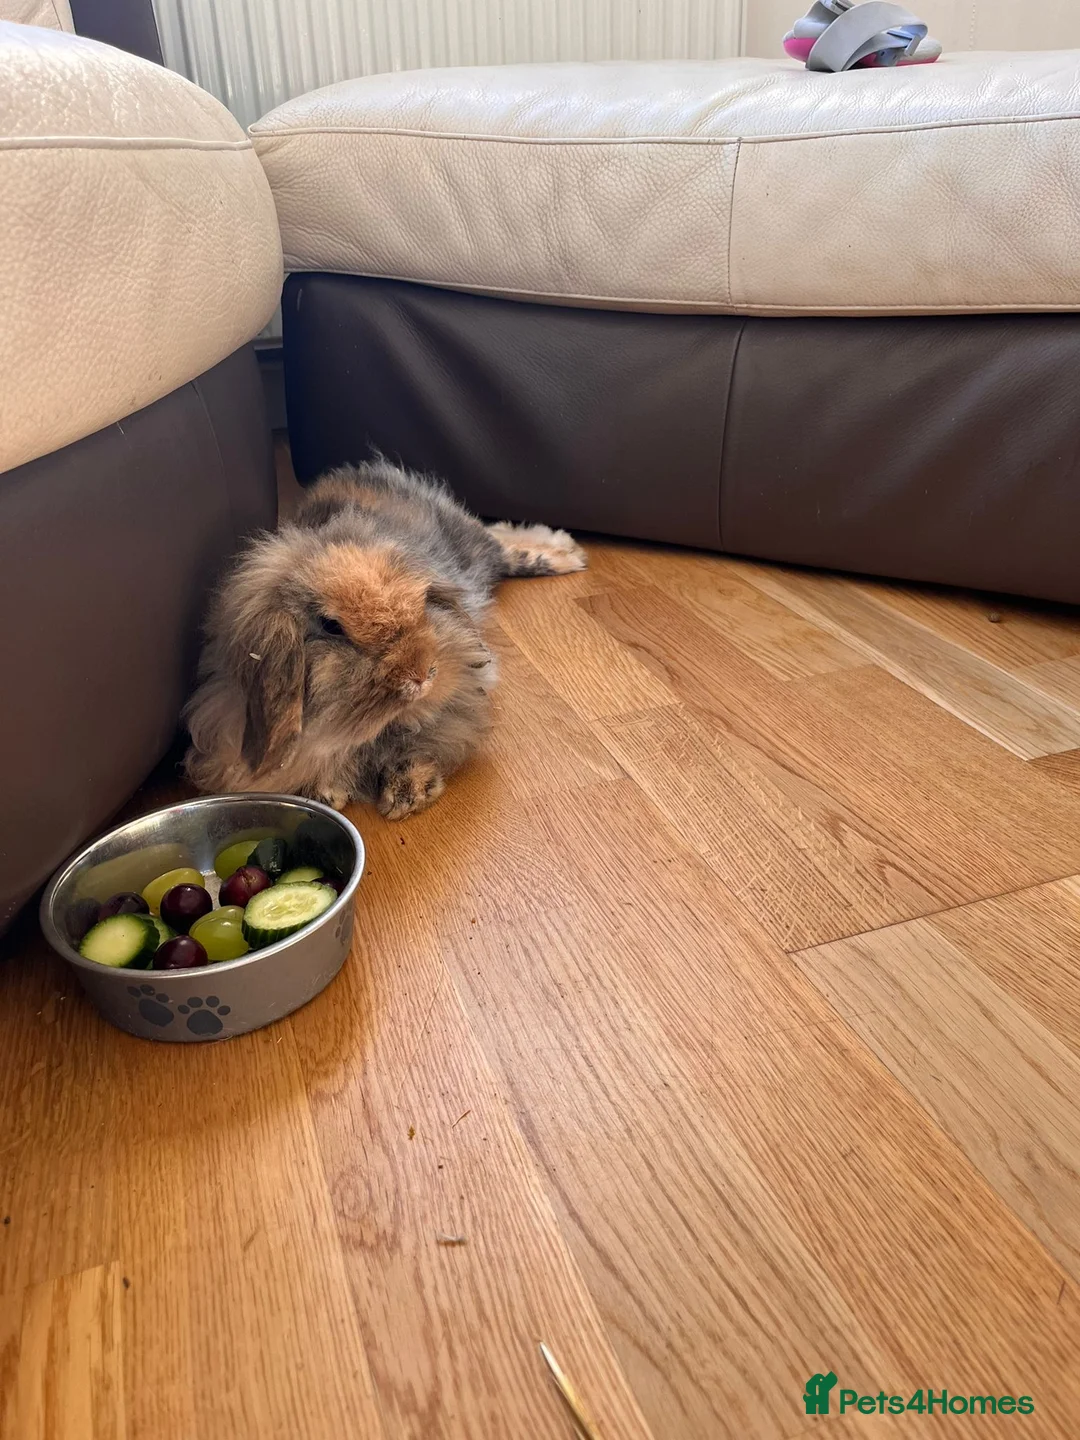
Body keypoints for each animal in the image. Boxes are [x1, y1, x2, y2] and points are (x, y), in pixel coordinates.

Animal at [183, 458, 587, 818]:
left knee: (504, 547)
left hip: (476, 548)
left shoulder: (457, 702)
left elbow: (421, 740)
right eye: (331, 627)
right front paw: (328, 794)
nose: (423, 674)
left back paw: (569, 554)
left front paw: (408, 795)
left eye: (421, 603)